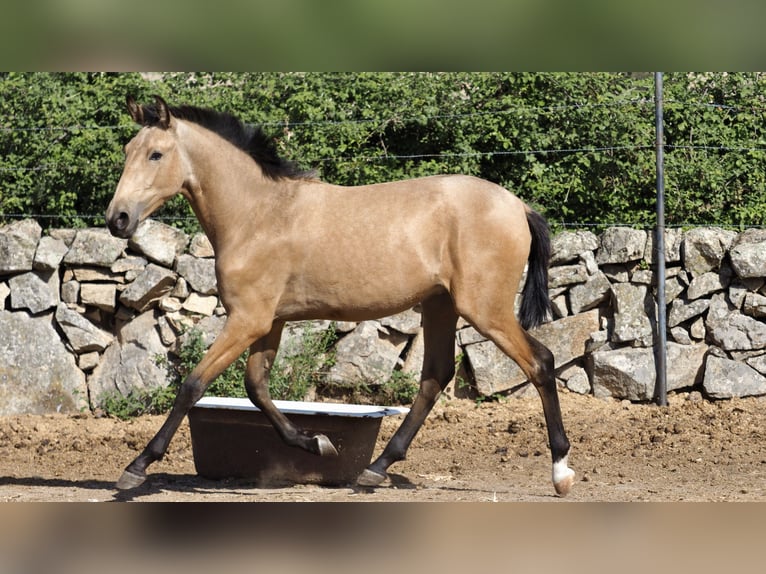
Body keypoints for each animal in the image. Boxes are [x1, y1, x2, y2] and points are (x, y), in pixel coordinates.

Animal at [106, 97, 576, 498]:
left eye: (156, 154)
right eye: (129, 149)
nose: (117, 219)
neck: (258, 214)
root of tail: (518, 206)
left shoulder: (247, 320)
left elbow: (193, 384)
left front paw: (136, 468)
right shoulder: (268, 322)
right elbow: (256, 387)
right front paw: (317, 443)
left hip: (484, 309)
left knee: (540, 363)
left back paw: (561, 472)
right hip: (440, 306)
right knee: (435, 377)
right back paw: (375, 469)